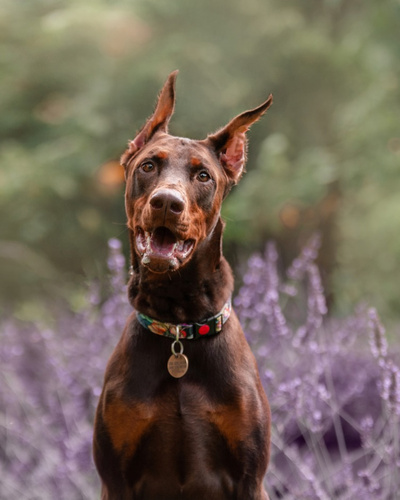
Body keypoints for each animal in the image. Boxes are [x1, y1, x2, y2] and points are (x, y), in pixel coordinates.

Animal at [93, 71, 272, 500]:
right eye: (147, 166)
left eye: (203, 175)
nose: (166, 203)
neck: (179, 324)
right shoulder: (114, 479)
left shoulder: (250, 479)